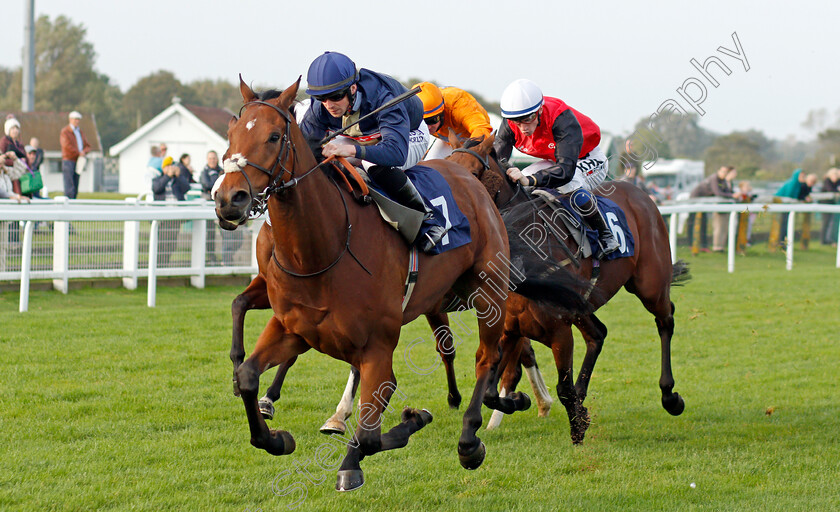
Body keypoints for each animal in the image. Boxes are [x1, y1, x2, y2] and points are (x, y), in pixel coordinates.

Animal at [215, 78, 592, 490]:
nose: (228, 198)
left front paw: (391, 433)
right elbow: (249, 374)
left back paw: (473, 436)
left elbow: (369, 432)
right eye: (232, 133)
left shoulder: (377, 344)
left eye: (273, 136)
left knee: (487, 358)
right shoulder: (293, 327)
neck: (325, 246)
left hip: (489, 292)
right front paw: (276, 433)